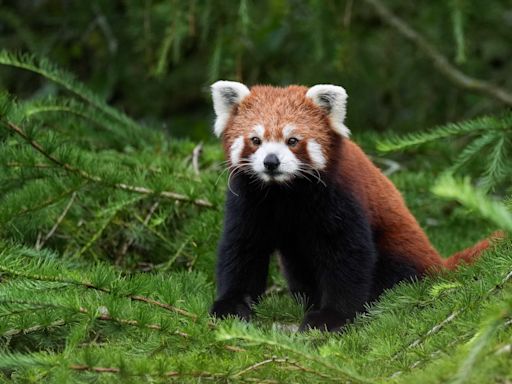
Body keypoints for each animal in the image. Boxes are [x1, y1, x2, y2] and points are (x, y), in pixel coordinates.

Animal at [208, 80, 500, 330]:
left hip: (400, 251)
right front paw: (231, 306)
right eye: (255, 140)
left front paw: (331, 317)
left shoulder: (340, 198)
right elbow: (243, 249)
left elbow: (347, 256)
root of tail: (436, 266)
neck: (284, 193)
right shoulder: (248, 201)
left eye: (292, 141)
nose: (271, 162)